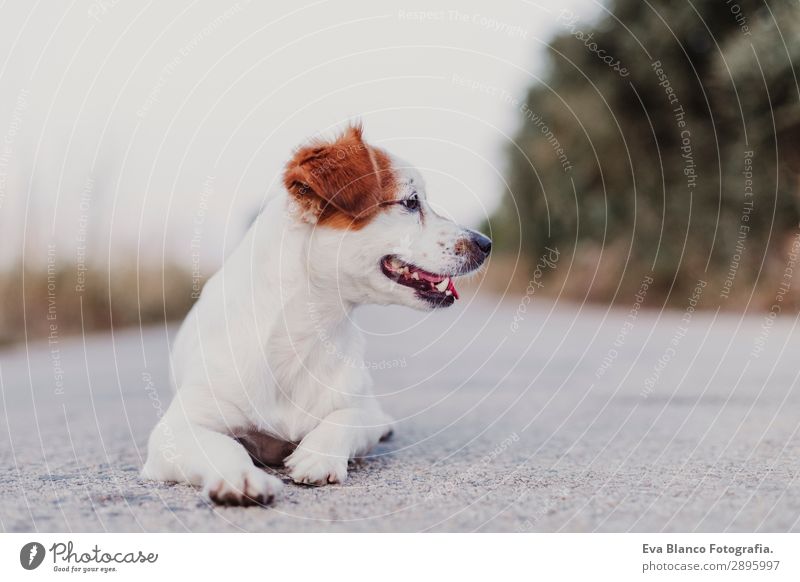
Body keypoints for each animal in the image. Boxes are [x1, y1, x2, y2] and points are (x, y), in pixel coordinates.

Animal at [141, 124, 490, 506]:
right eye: (411, 202)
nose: (486, 244)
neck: (304, 332)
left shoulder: (357, 407)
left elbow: (348, 417)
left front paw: (318, 455)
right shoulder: (174, 431)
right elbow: (221, 446)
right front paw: (240, 477)